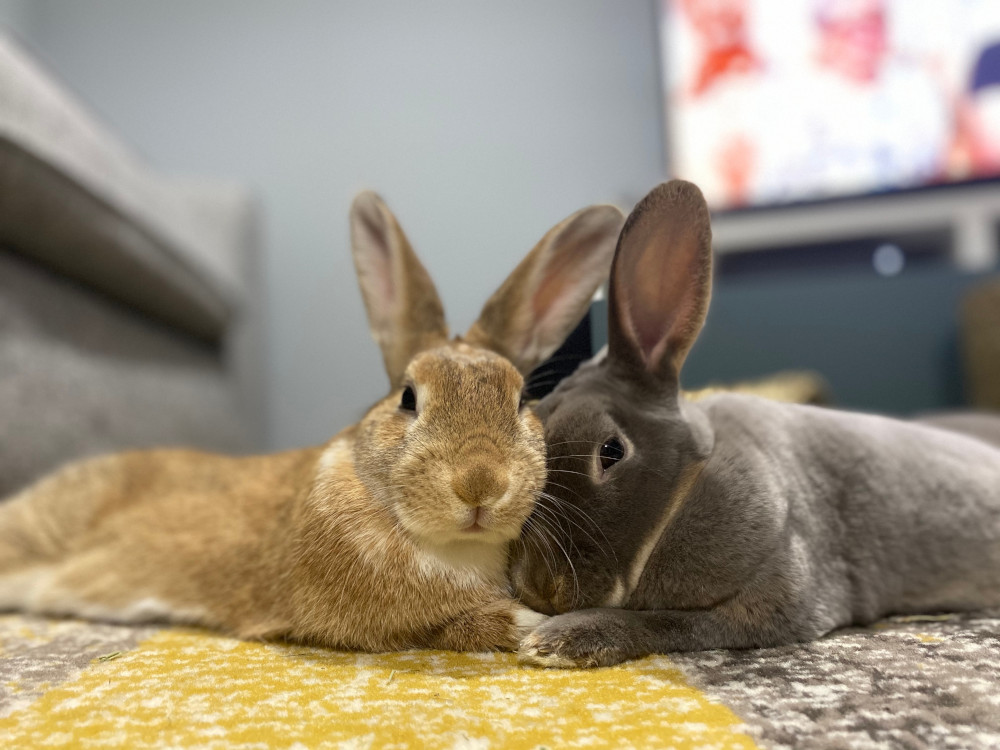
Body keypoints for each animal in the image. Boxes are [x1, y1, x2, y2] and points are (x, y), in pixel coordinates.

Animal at [509, 180, 1000, 668]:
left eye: (611, 451)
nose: (542, 587)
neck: (686, 485)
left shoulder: (772, 598)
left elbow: (669, 624)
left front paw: (556, 641)